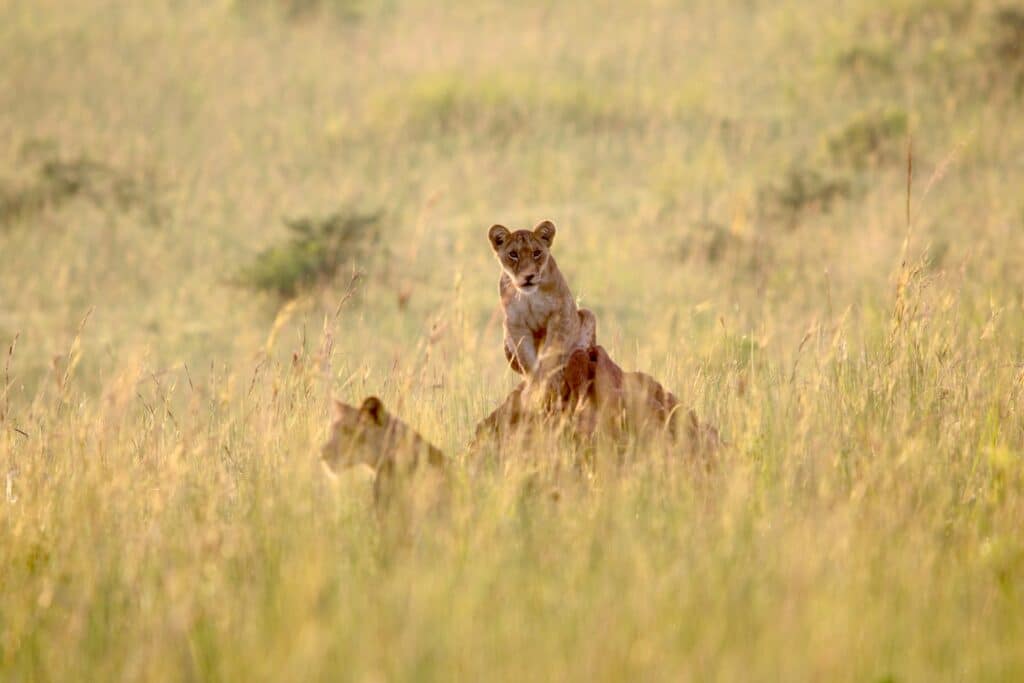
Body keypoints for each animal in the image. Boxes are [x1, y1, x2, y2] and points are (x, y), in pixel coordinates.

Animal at [487, 220, 597, 397]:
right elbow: (527, 359)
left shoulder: (559, 314)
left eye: (536, 253)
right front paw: (534, 387)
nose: (528, 276)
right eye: (513, 254)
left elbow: (551, 353)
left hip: (587, 315)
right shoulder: (515, 323)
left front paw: (547, 383)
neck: (529, 295)